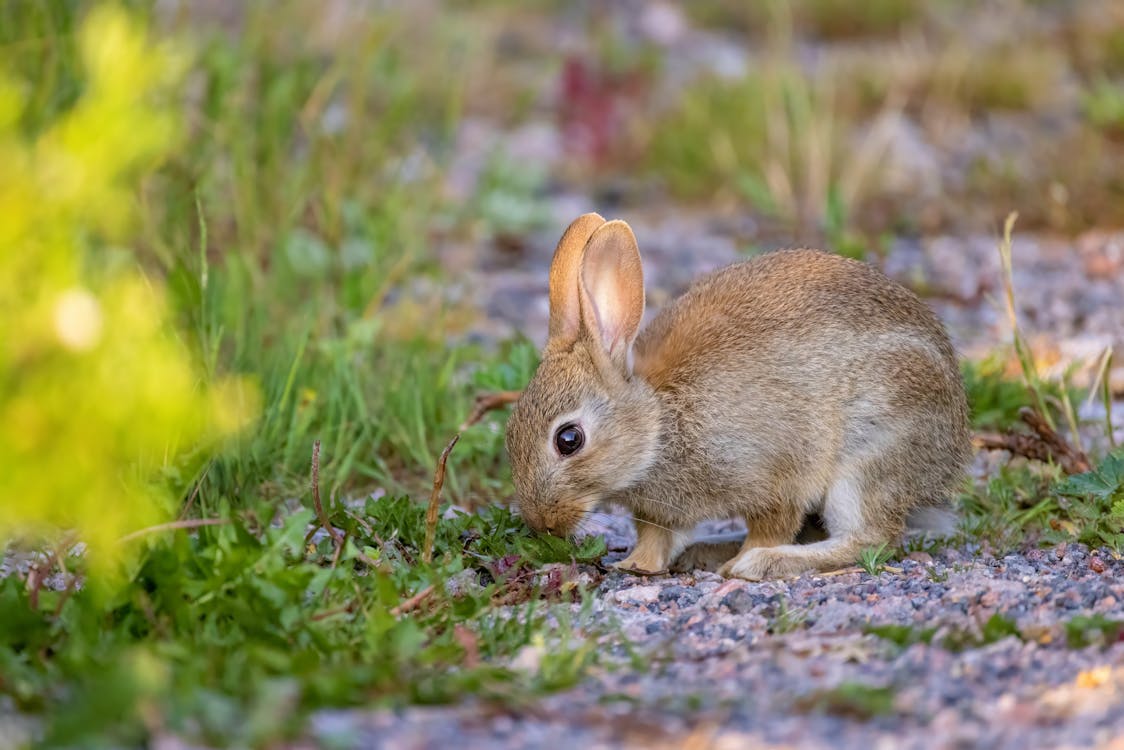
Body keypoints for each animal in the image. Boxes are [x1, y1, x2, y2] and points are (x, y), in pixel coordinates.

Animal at [504, 213, 972, 580]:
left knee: (870, 537)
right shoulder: (659, 512)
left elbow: (773, 523)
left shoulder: (777, 474)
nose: (542, 523)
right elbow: (655, 538)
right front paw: (635, 565)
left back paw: (761, 563)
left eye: (569, 440)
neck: (658, 426)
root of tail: (950, 456)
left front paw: (748, 560)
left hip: (869, 454)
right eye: (510, 433)